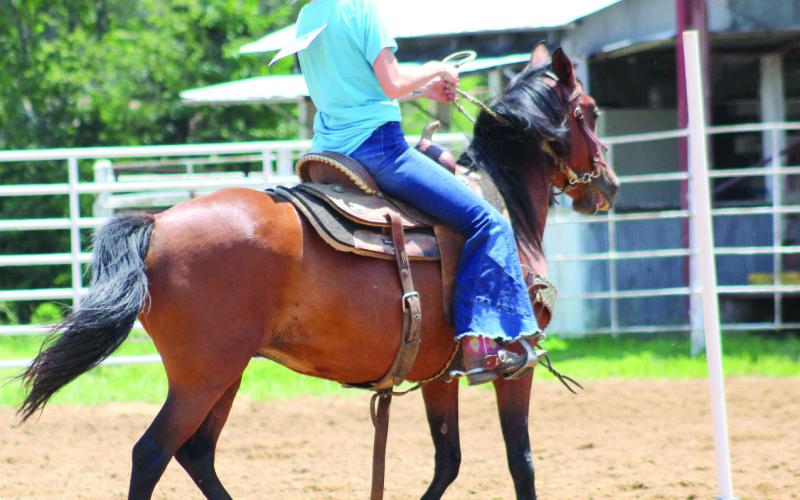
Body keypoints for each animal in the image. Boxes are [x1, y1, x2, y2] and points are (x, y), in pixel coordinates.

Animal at [17, 45, 618, 499]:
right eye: (588, 111)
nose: (608, 186)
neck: (504, 206)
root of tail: (157, 223)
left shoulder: (440, 373)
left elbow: (447, 461)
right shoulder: (518, 362)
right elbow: (521, 462)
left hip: (224, 373)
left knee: (196, 453)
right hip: (204, 375)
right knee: (153, 453)